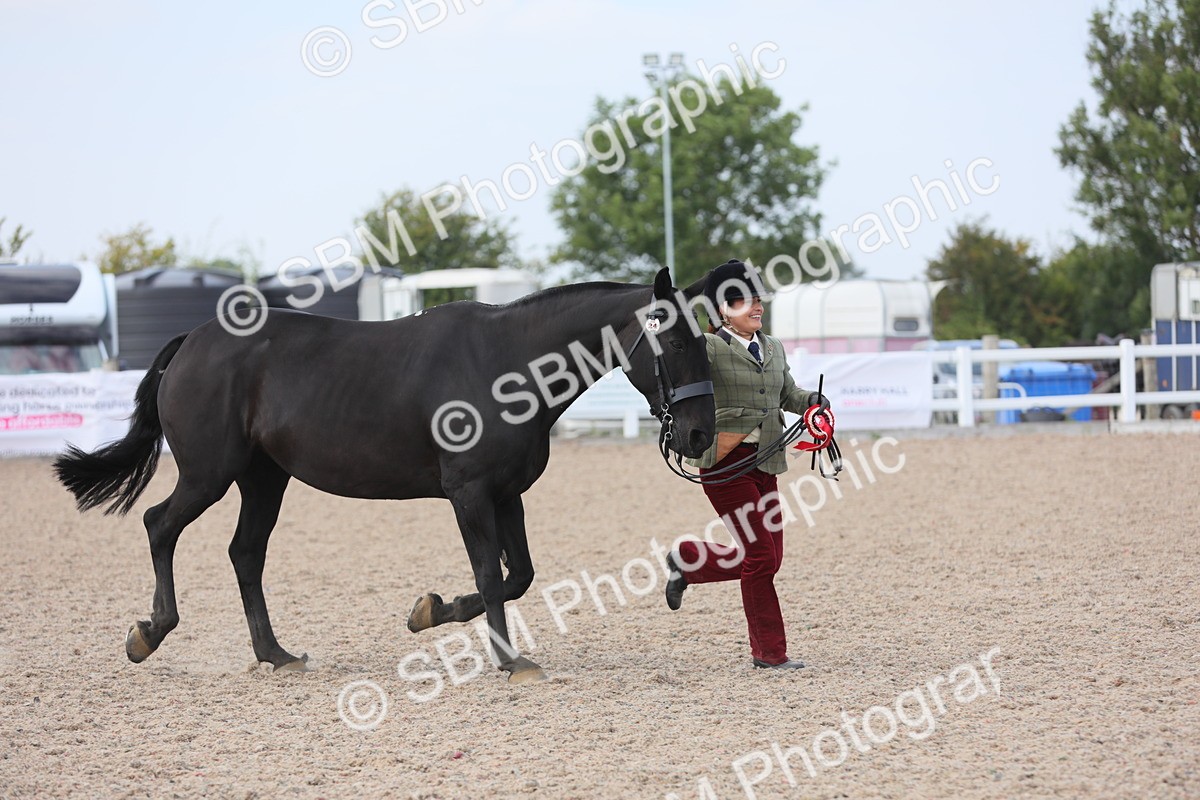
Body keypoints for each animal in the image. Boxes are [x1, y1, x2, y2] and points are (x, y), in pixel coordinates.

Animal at [53, 268, 715, 684]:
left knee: (245, 553)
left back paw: (276, 654)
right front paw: (508, 661)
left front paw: (431, 610)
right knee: (159, 525)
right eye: (678, 343)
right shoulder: (469, 492)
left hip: (264, 480)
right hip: (207, 474)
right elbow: (492, 573)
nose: (699, 435)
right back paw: (150, 633)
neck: (504, 364)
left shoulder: (507, 495)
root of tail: (193, 340)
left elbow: (519, 574)